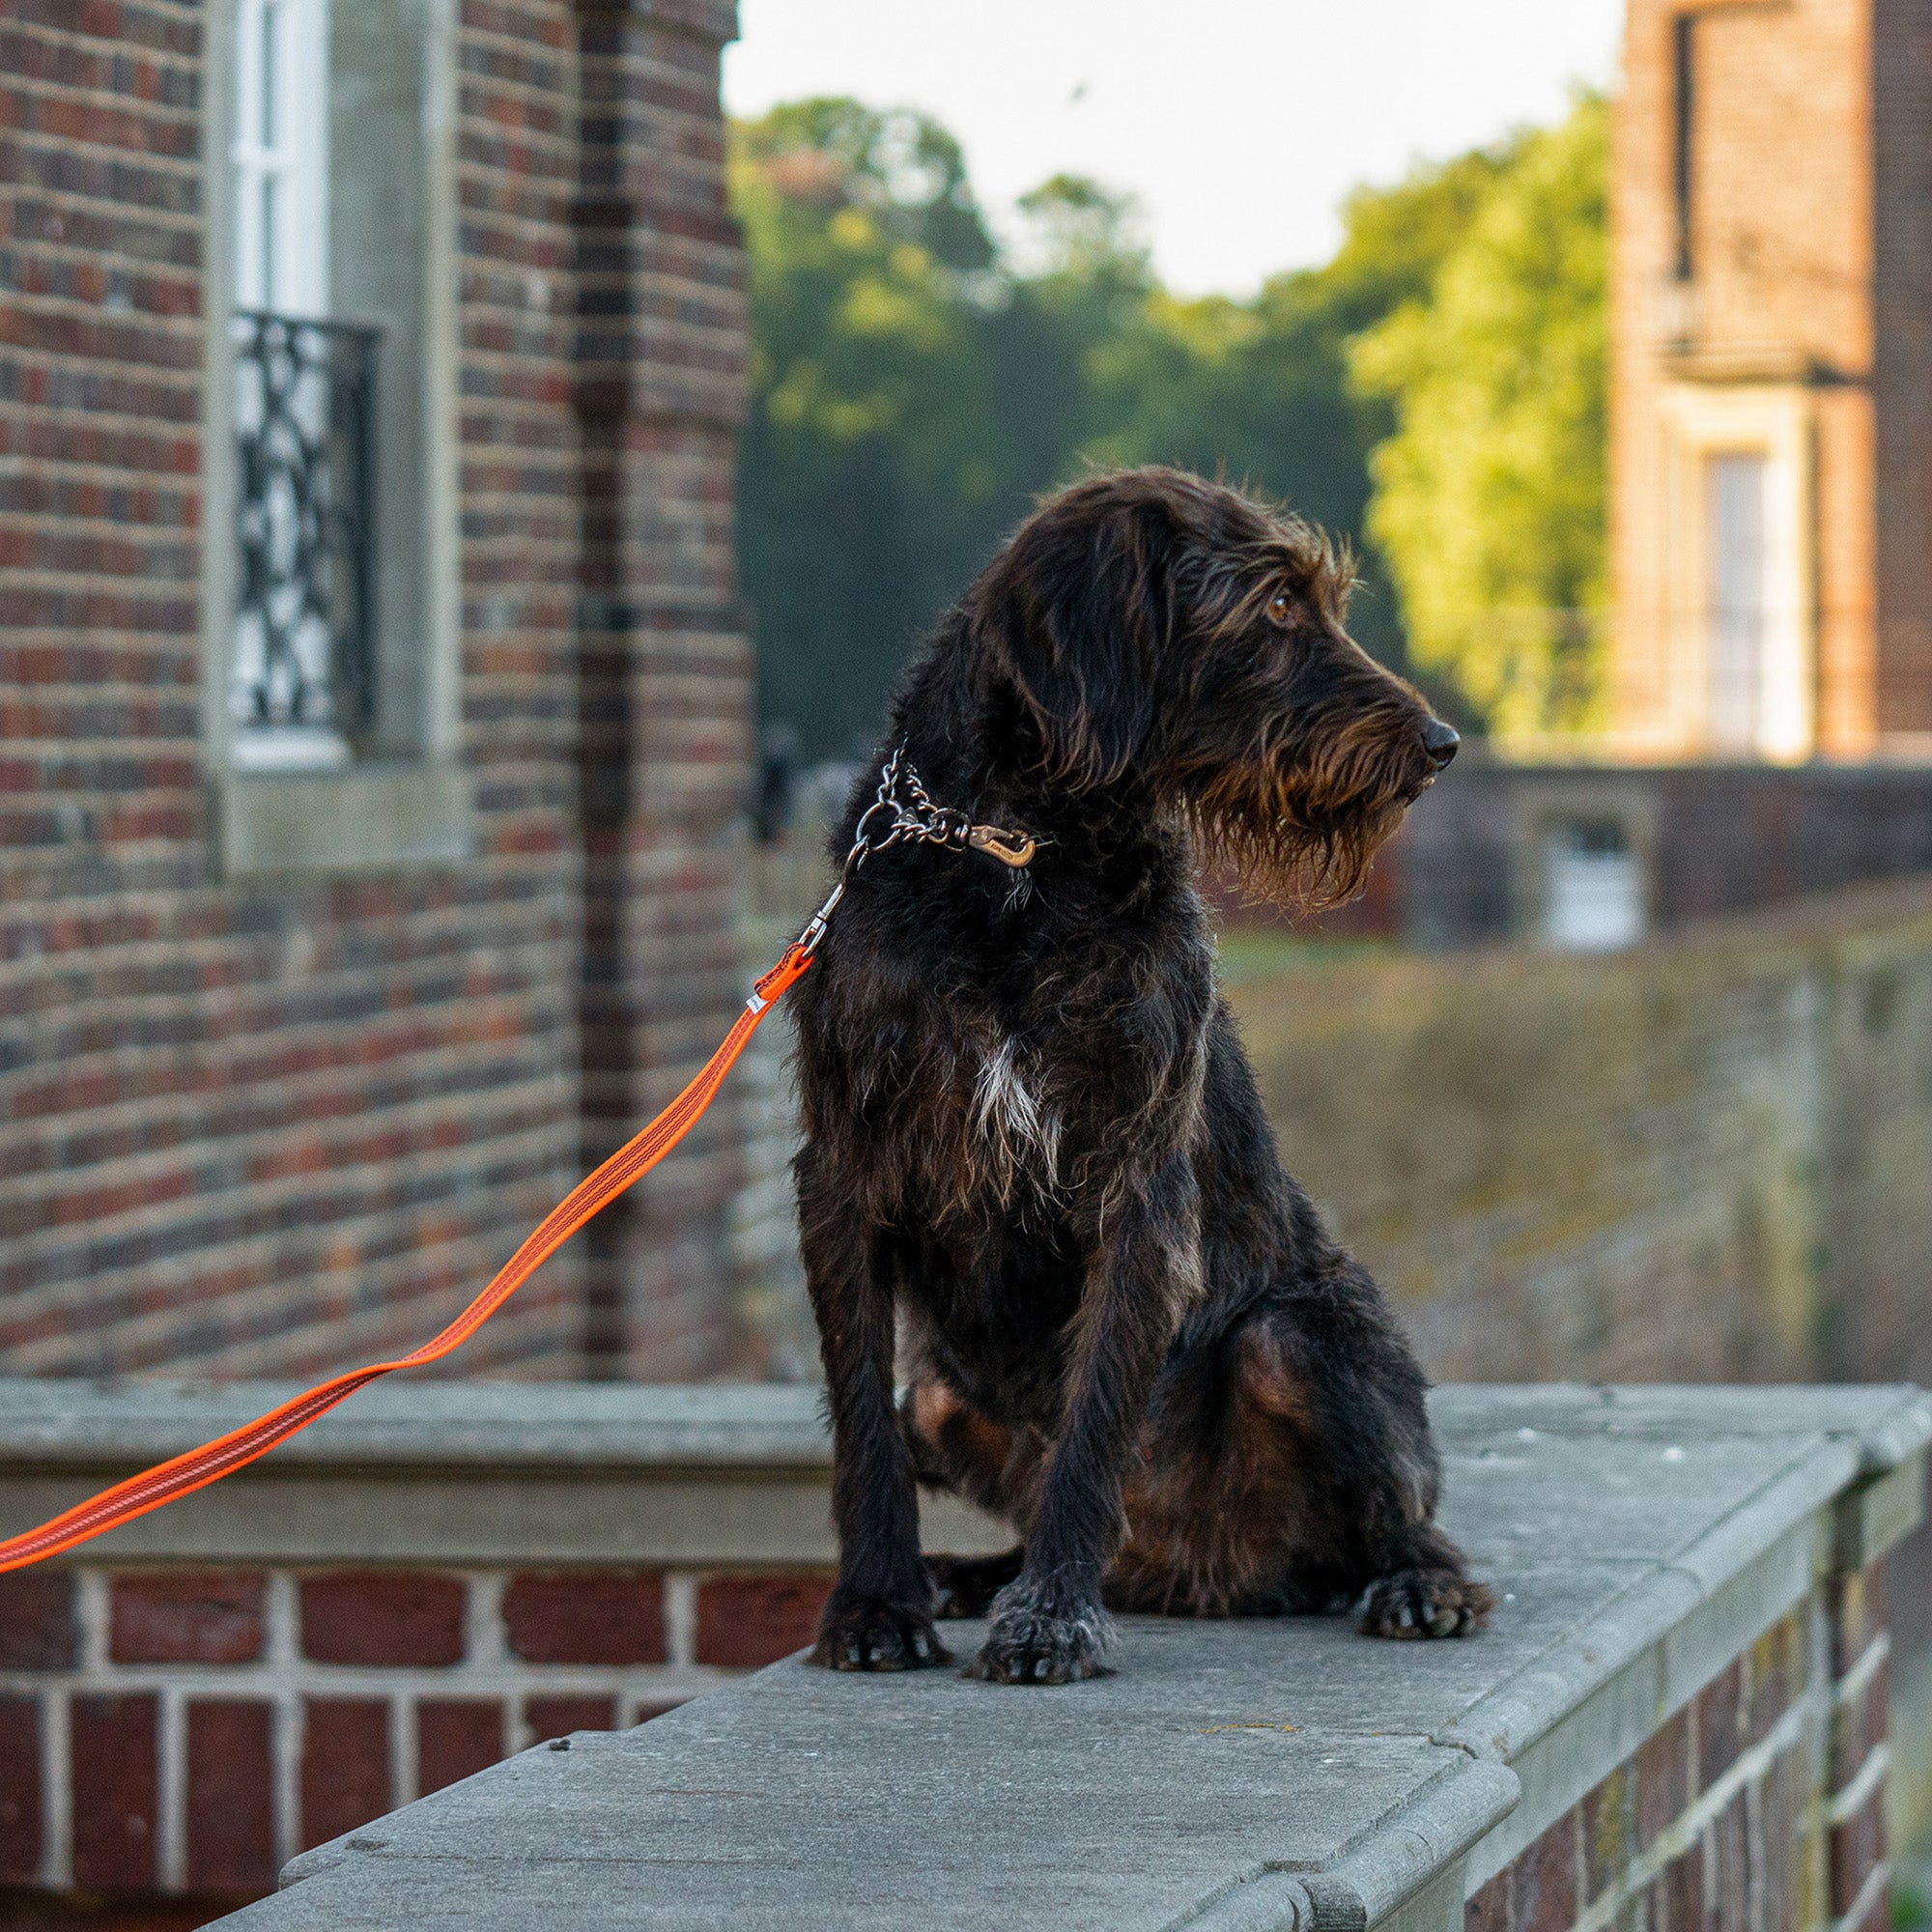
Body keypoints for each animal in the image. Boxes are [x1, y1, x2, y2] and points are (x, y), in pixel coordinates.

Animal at [788, 464, 1492, 1677]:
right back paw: (970, 1574)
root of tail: (1202, 1574)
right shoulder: (842, 1171)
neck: (1017, 853)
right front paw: (877, 1602)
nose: (1439, 742)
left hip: (1298, 1338)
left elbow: (1092, 1421)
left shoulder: (1133, 1178)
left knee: (1402, 1516)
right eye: (1273, 605)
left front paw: (1050, 1614)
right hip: (943, 1392)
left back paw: (1419, 1583)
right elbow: (862, 1421)